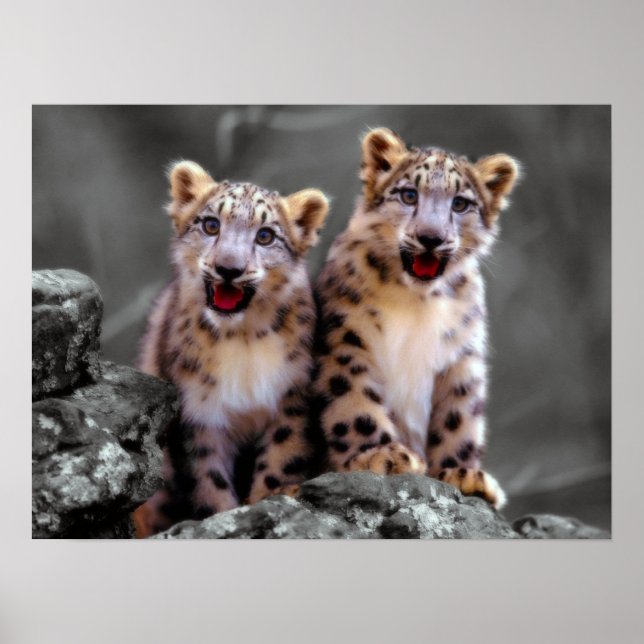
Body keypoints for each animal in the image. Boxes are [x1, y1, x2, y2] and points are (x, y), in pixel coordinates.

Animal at [132, 160, 329, 537]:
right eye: (211, 224)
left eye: (265, 235)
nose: (228, 268)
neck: (242, 339)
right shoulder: (197, 414)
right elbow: (209, 482)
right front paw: (224, 518)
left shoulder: (291, 399)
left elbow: (280, 461)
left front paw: (268, 502)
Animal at [312, 127, 520, 508]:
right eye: (409, 194)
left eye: (460, 203)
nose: (430, 237)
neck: (416, 302)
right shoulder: (345, 338)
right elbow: (354, 398)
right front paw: (381, 455)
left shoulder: (462, 355)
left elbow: (459, 415)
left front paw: (462, 473)